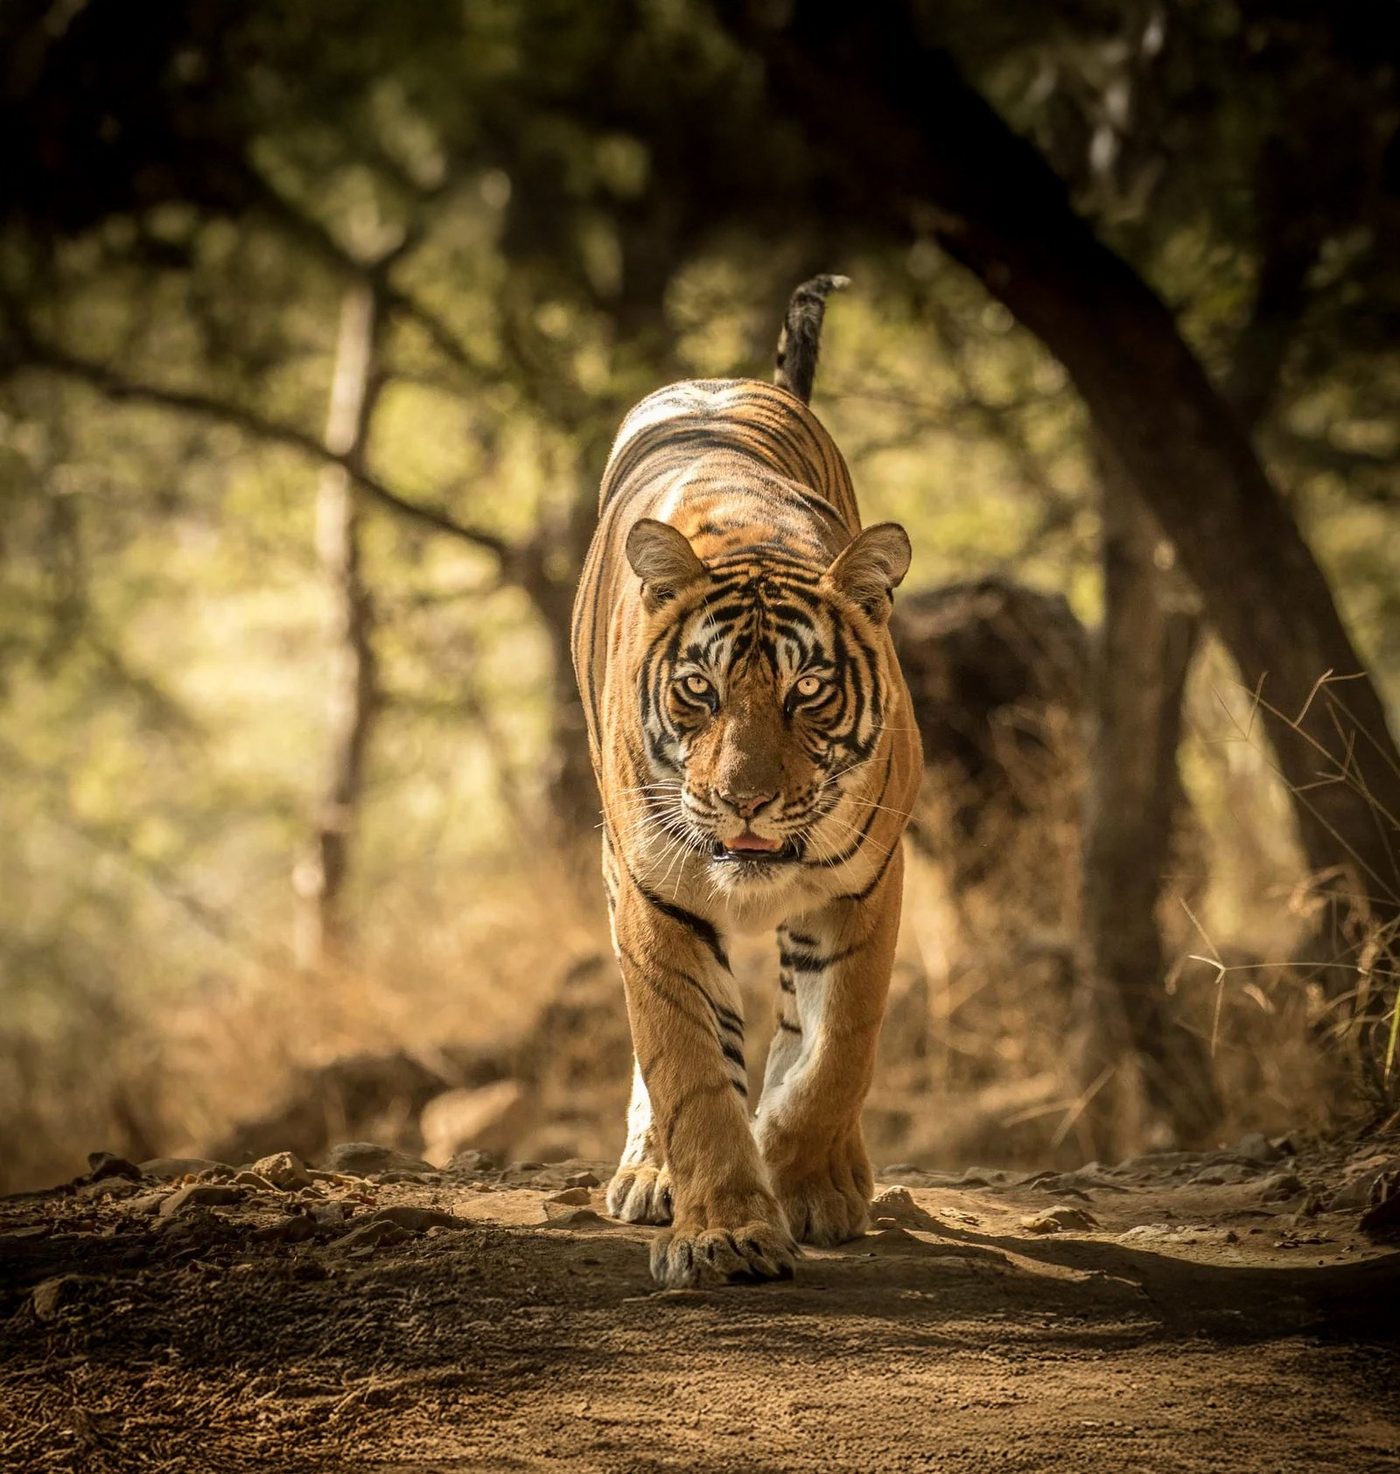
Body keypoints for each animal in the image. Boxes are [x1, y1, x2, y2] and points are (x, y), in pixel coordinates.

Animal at [570, 275, 922, 1287]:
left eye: (808, 691)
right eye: (701, 690)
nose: (745, 801)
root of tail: (725, 382)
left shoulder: (870, 884)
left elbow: (836, 1050)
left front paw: (808, 1182)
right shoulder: (653, 890)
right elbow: (688, 1068)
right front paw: (724, 1230)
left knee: (802, 1031)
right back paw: (651, 1175)